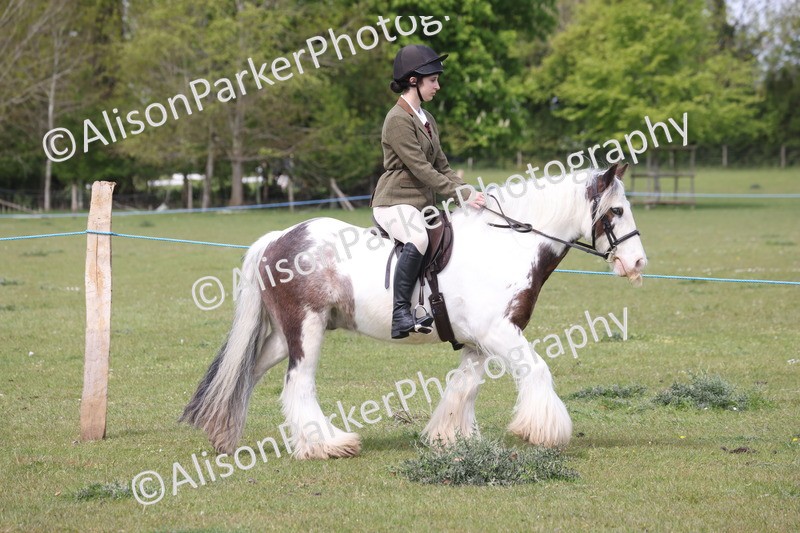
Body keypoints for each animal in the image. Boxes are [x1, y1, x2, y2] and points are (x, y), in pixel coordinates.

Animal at [180, 163, 647, 459]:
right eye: (617, 210)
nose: (638, 263)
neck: (507, 243)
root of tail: (279, 237)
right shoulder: (499, 333)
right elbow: (537, 370)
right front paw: (543, 430)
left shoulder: (480, 341)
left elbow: (463, 388)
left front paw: (451, 440)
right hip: (305, 329)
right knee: (298, 385)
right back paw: (326, 445)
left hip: (284, 335)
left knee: (248, 371)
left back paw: (223, 434)